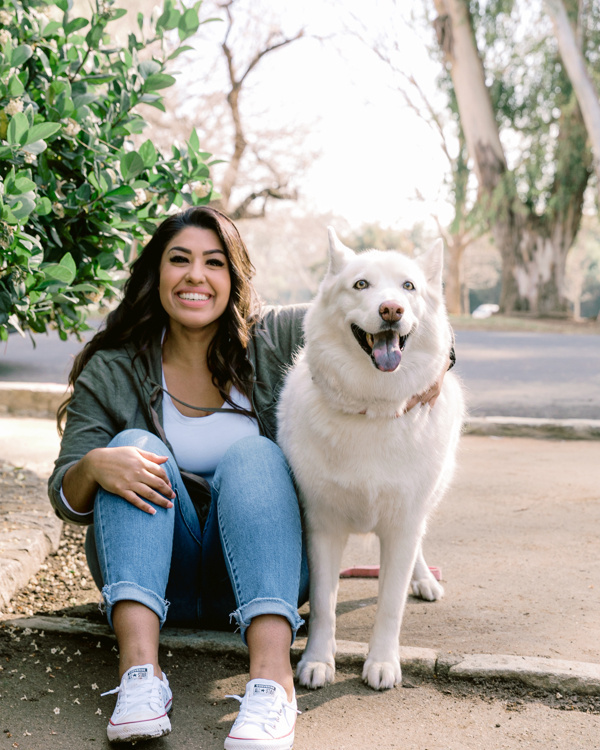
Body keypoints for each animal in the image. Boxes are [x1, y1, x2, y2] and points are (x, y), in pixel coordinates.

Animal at [276, 228, 464, 692]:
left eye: (408, 287)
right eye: (361, 285)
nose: (391, 309)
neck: (374, 409)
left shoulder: (401, 526)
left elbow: (390, 605)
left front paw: (382, 662)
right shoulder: (322, 527)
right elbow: (324, 605)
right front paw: (317, 660)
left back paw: (424, 579)